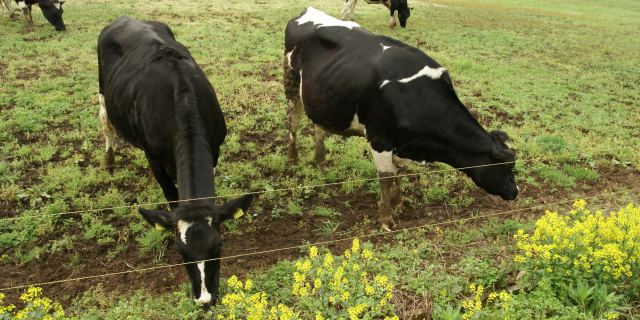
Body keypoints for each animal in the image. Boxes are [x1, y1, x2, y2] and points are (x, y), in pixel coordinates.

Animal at [97, 16, 252, 306]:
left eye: (218, 245)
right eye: (179, 250)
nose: (204, 299)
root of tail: (126, 18)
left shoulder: (214, 149)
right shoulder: (155, 161)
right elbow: (171, 197)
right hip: (102, 90)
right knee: (106, 123)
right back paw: (109, 161)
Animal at [282, 7, 516, 231]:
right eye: (506, 168)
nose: (515, 191)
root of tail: (309, 12)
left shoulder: (403, 146)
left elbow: (399, 174)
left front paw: (397, 203)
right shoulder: (380, 139)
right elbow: (386, 178)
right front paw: (386, 218)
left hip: (320, 97)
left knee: (318, 127)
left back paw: (321, 161)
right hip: (291, 85)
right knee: (293, 123)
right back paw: (292, 160)